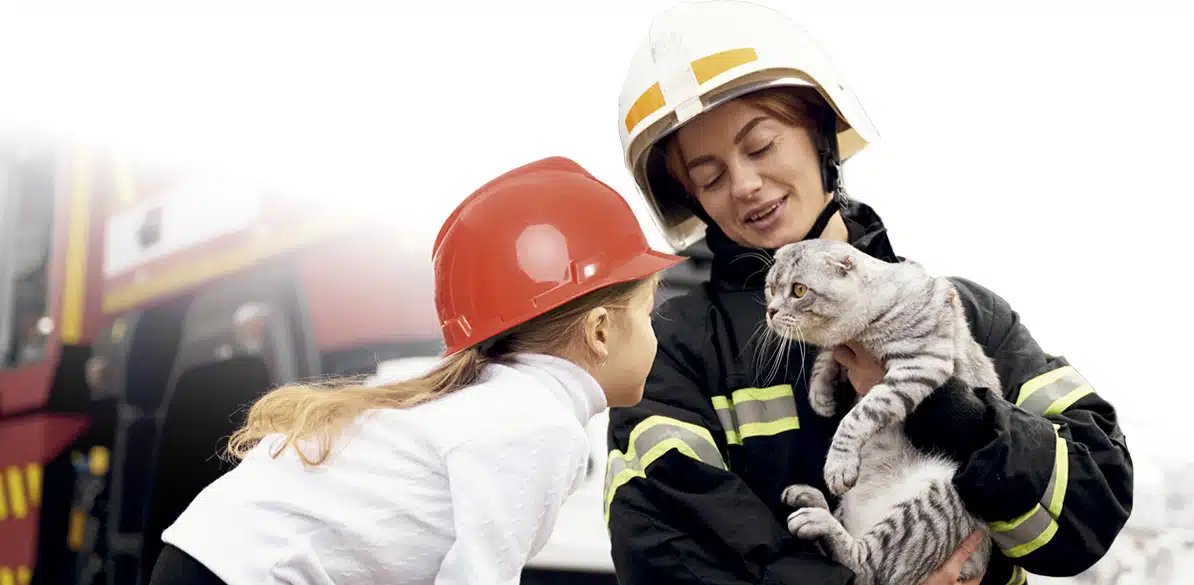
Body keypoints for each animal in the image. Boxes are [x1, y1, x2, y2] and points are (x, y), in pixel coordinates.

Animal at [764, 237, 998, 585]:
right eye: (770, 288)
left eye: (799, 291)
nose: (771, 310)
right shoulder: (848, 346)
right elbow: (828, 354)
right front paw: (821, 393)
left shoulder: (919, 362)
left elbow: (859, 415)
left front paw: (838, 463)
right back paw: (807, 498)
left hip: (937, 497)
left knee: (865, 567)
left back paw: (814, 518)